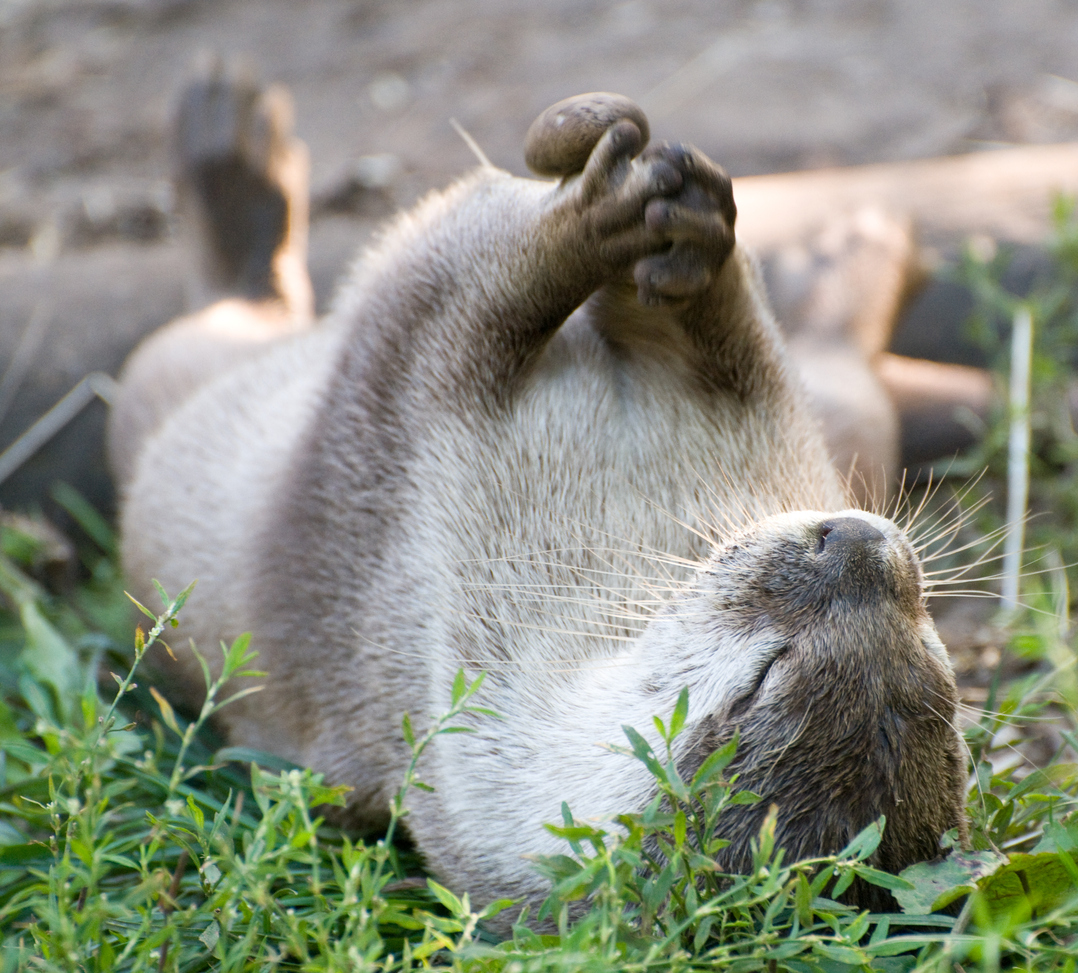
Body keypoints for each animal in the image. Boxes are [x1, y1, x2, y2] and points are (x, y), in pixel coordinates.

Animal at [111, 78, 970, 926]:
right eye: (935, 651)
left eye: (767, 671)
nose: (859, 542)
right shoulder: (772, 433)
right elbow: (730, 341)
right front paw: (687, 227)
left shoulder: (416, 505)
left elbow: (459, 291)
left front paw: (589, 223)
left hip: (177, 378)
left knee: (234, 309)